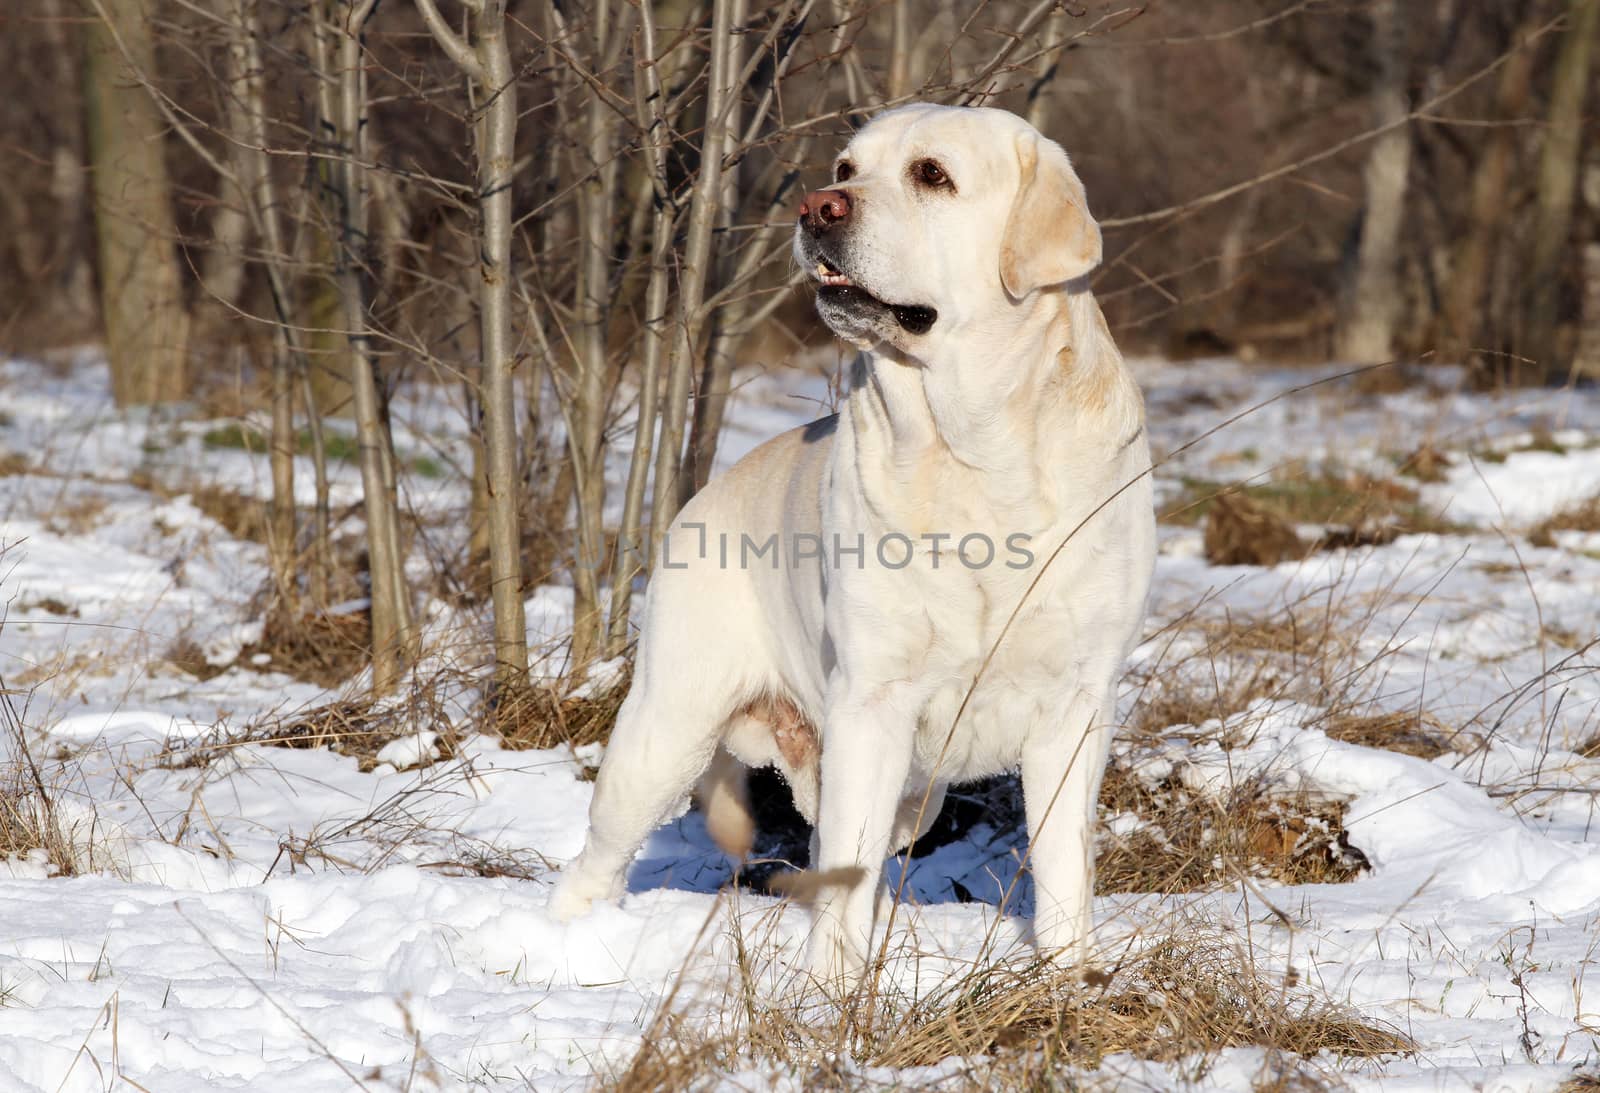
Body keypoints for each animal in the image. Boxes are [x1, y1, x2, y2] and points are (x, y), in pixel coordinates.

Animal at [550, 102, 1152, 985]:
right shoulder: (873, 701)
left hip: (905, 790)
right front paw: (831, 991)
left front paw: (1069, 980)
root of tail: (701, 495)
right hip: (666, 731)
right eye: (845, 168)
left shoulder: (1076, 705)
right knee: (594, 860)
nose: (815, 206)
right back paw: (567, 942)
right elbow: (850, 868)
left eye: (932, 174)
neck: (976, 449)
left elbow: (1064, 865)